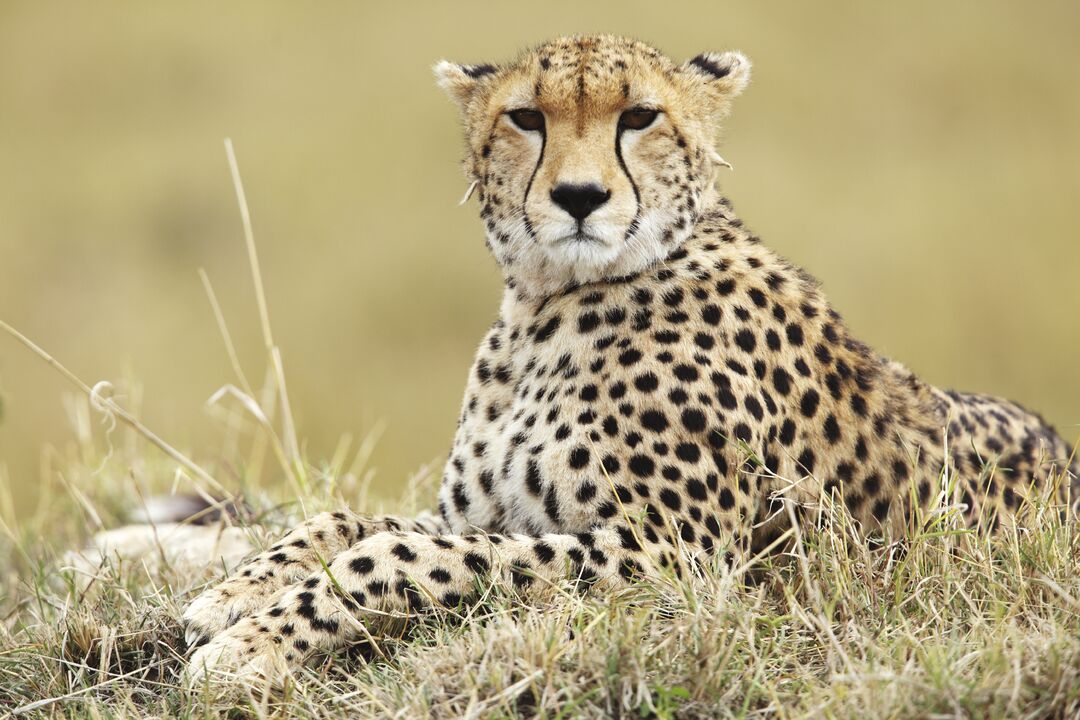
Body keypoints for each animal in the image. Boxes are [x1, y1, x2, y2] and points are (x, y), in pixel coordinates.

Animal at [181, 35, 1075, 686]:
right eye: (526, 118)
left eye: (640, 116)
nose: (580, 198)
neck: (547, 305)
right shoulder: (486, 511)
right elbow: (346, 521)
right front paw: (228, 597)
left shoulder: (682, 561)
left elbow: (403, 554)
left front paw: (249, 646)